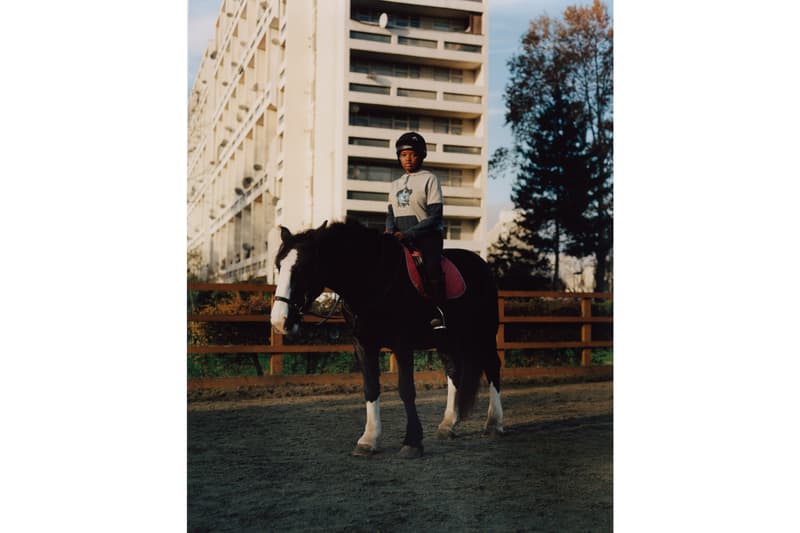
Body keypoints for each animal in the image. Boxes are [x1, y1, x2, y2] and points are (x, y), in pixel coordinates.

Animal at [272, 220, 504, 458]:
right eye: (278, 266)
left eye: (303, 267)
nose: (280, 321)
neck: (373, 278)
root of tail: (480, 264)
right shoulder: (363, 344)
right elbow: (371, 387)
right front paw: (368, 440)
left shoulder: (402, 344)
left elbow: (406, 389)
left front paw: (412, 442)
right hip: (446, 340)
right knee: (454, 372)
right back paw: (448, 424)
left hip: (484, 334)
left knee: (493, 367)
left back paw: (494, 424)